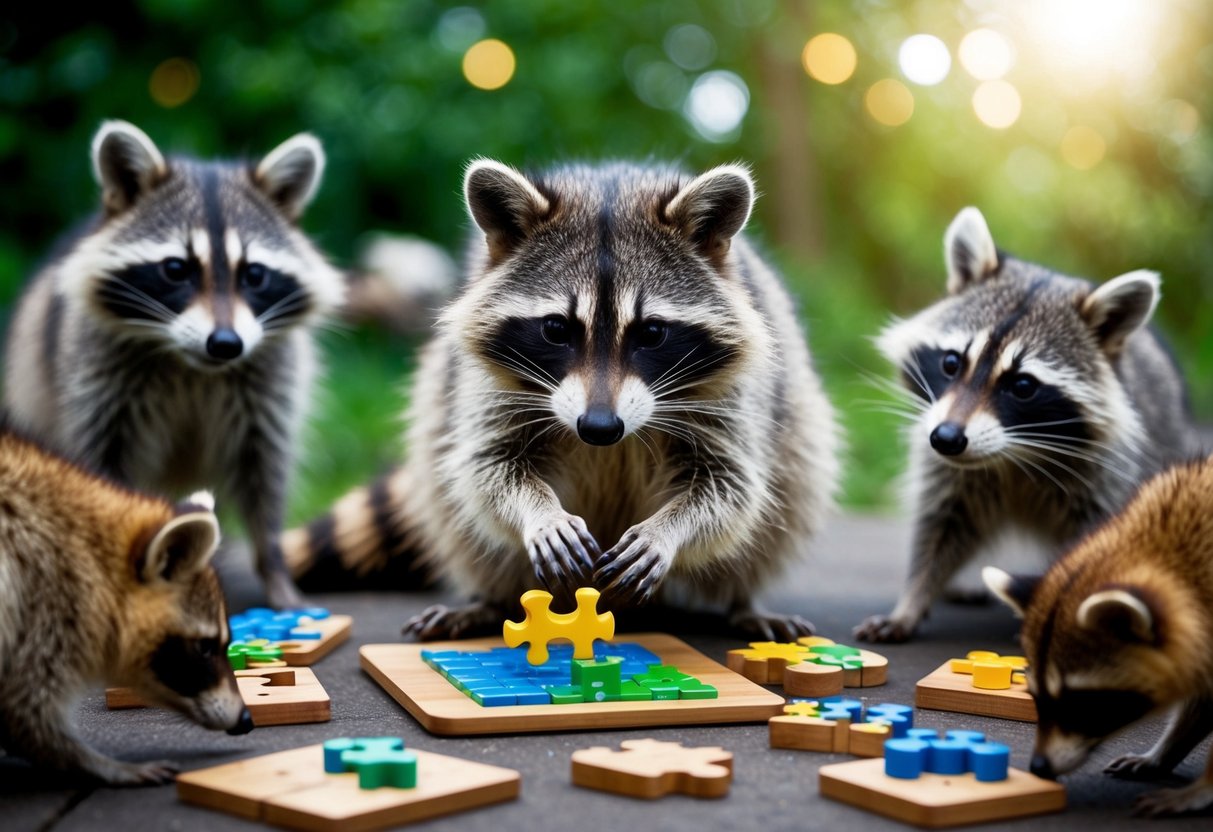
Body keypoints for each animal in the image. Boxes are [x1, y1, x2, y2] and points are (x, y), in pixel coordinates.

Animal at [4, 121, 345, 608]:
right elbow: (102, 468)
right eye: (175, 269)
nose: (226, 344)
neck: (195, 366)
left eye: (254, 275)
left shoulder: (269, 386)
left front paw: (274, 567)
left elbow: (264, 474)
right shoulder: (96, 384)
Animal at [283, 160, 839, 639]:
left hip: (794, 416)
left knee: (789, 490)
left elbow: (730, 486)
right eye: (556, 329)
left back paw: (742, 602)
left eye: (652, 333)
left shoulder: (733, 394)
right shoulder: (485, 385)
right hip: (440, 397)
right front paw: (540, 513)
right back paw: (489, 598)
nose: (599, 427)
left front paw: (667, 530)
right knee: (452, 502)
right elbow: (487, 468)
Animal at [855, 207, 1196, 643]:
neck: (1016, 453)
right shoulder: (951, 471)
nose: (946, 439)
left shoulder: (1110, 478)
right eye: (951, 363)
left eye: (1022, 386)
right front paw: (913, 600)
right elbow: (939, 528)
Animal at [984, 455, 1213, 817]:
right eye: (1033, 696)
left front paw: (1204, 786)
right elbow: (1202, 700)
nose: (1039, 768)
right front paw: (1167, 750)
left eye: (1081, 702)